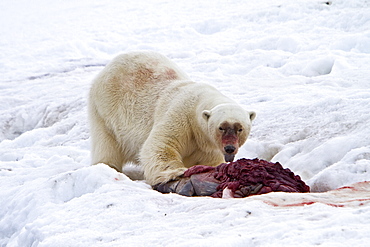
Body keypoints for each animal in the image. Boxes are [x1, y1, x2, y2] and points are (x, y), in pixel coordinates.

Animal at [88, 50, 256, 185]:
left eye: (240, 128)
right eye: (221, 127)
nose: (230, 148)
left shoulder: (207, 143)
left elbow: (210, 160)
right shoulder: (180, 115)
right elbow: (161, 145)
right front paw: (176, 173)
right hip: (105, 111)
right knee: (107, 145)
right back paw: (109, 168)